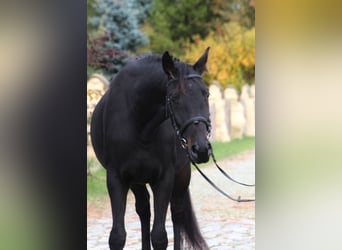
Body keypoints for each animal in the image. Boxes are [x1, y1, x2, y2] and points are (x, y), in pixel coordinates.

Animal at [92, 47, 212, 249]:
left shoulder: (165, 178)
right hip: (137, 181)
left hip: (181, 175)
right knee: (144, 210)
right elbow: (117, 236)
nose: (201, 149)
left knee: (177, 213)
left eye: (206, 94)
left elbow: (159, 236)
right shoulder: (116, 178)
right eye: (175, 98)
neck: (140, 124)